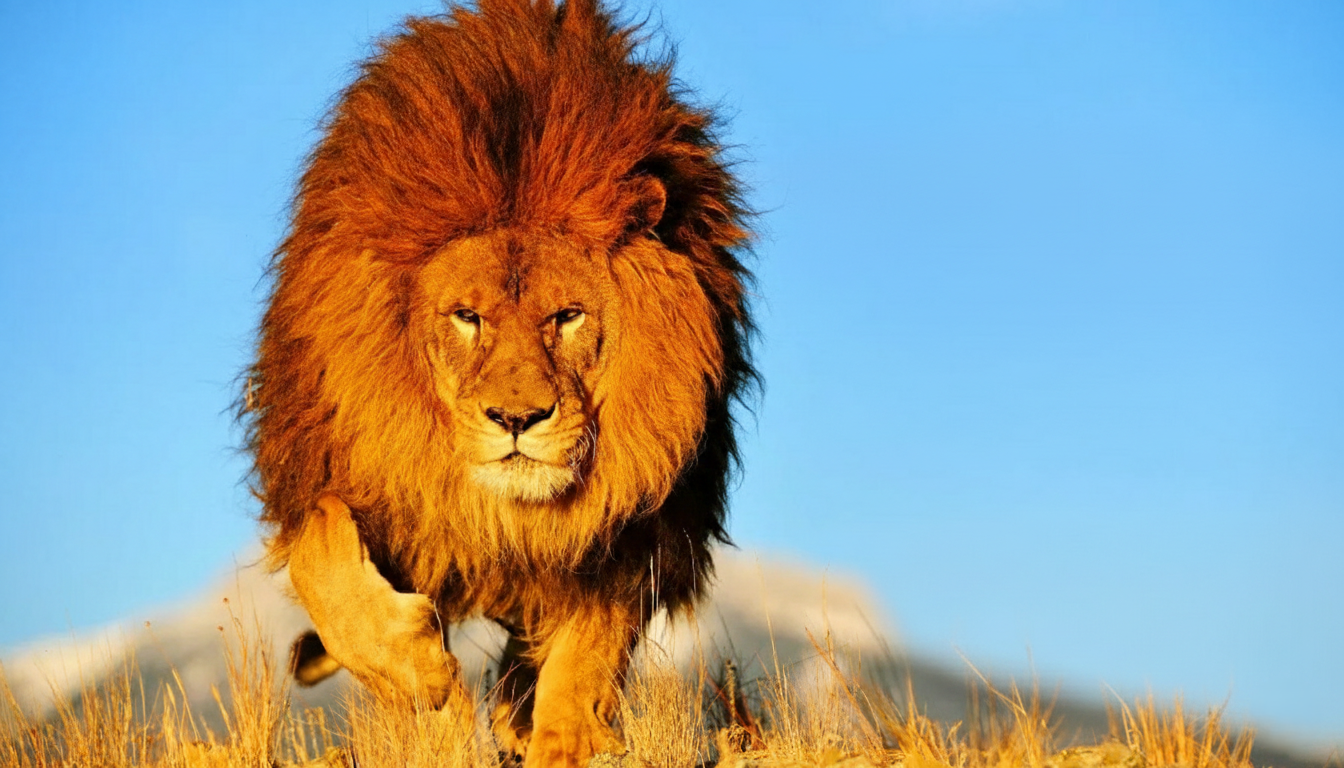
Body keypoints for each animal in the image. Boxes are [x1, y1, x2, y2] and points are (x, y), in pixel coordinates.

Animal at [241, 1, 755, 765]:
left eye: (567, 316)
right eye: (467, 317)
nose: (517, 420)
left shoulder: (642, 519)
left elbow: (587, 652)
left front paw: (563, 740)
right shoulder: (327, 462)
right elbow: (325, 563)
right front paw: (425, 680)